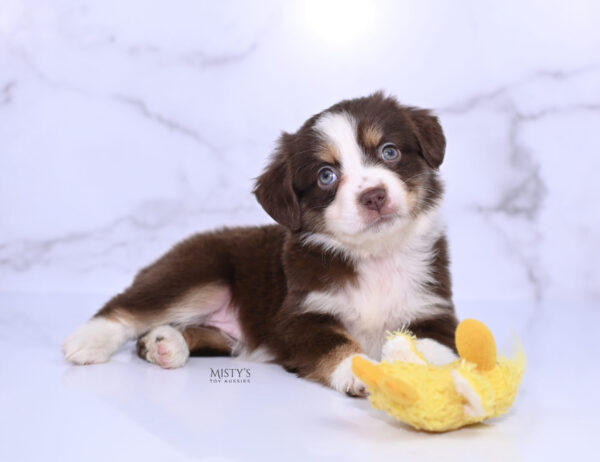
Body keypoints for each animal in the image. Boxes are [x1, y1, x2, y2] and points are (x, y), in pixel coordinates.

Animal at [62, 93, 460, 398]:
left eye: (390, 152)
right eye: (326, 175)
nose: (374, 196)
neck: (374, 254)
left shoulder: (432, 308)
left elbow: (434, 345)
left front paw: (432, 370)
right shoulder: (298, 316)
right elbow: (336, 343)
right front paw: (356, 371)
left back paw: (165, 344)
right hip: (199, 271)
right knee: (130, 307)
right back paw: (88, 341)